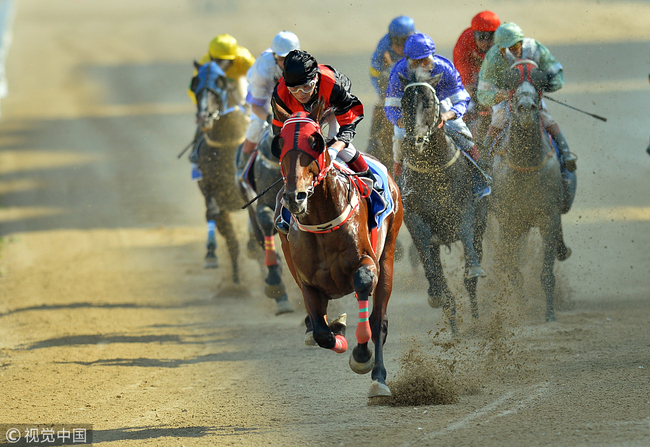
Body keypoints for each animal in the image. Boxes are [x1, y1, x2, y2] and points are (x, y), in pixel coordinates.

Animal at [189, 60, 249, 282]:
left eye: (220, 83)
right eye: (195, 85)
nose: (204, 117)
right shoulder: (210, 187)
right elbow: (212, 211)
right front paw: (210, 254)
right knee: (232, 241)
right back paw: (237, 281)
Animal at [270, 99, 402, 400]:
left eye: (315, 141)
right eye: (279, 143)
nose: (295, 197)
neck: (321, 219)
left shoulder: (368, 262)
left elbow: (364, 286)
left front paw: (361, 356)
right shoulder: (307, 281)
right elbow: (322, 333)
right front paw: (337, 330)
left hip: (388, 252)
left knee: (379, 321)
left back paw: (378, 378)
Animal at [398, 72, 484, 328]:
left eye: (428, 102)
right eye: (404, 102)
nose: (416, 140)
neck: (433, 171)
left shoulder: (465, 206)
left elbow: (465, 232)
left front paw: (474, 270)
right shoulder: (415, 218)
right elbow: (428, 260)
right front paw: (435, 292)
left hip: (482, 226)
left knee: (470, 278)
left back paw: (476, 323)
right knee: (444, 287)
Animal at [488, 61, 568, 324]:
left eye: (540, 79)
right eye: (510, 80)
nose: (526, 108)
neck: (525, 169)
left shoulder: (548, 218)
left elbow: (546, 274)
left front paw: (550, 314)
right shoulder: (509, 222)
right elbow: (514, 272)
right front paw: (522, 310)